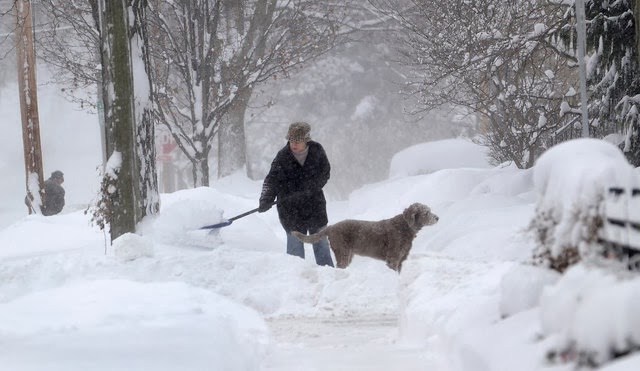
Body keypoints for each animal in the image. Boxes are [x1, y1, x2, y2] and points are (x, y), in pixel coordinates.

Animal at [292, 203, 438, 274]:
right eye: (426, 213)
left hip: (348, 254)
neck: (405, 227)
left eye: (430, 210)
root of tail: (331, 227)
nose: (437, 217)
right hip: (343, 251)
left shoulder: (401, 259)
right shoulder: (393, 257)